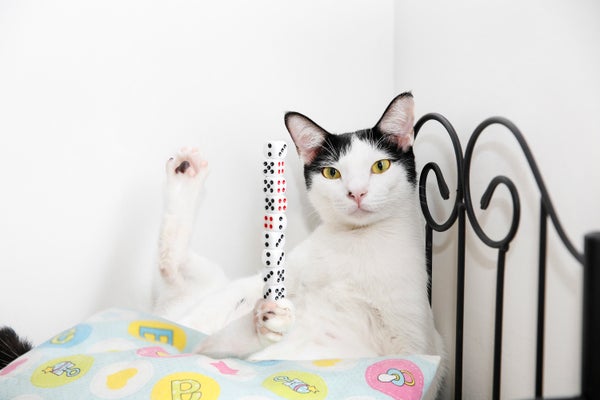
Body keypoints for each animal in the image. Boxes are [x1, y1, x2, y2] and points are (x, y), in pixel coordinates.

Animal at [155, 91, 446, 368]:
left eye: (380, 166)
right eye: (331, 173)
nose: (356, 193)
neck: (358, 240)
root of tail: (170, 320)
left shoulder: (412, 345)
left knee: (202, 340)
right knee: (178, 281)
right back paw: (185, 173)